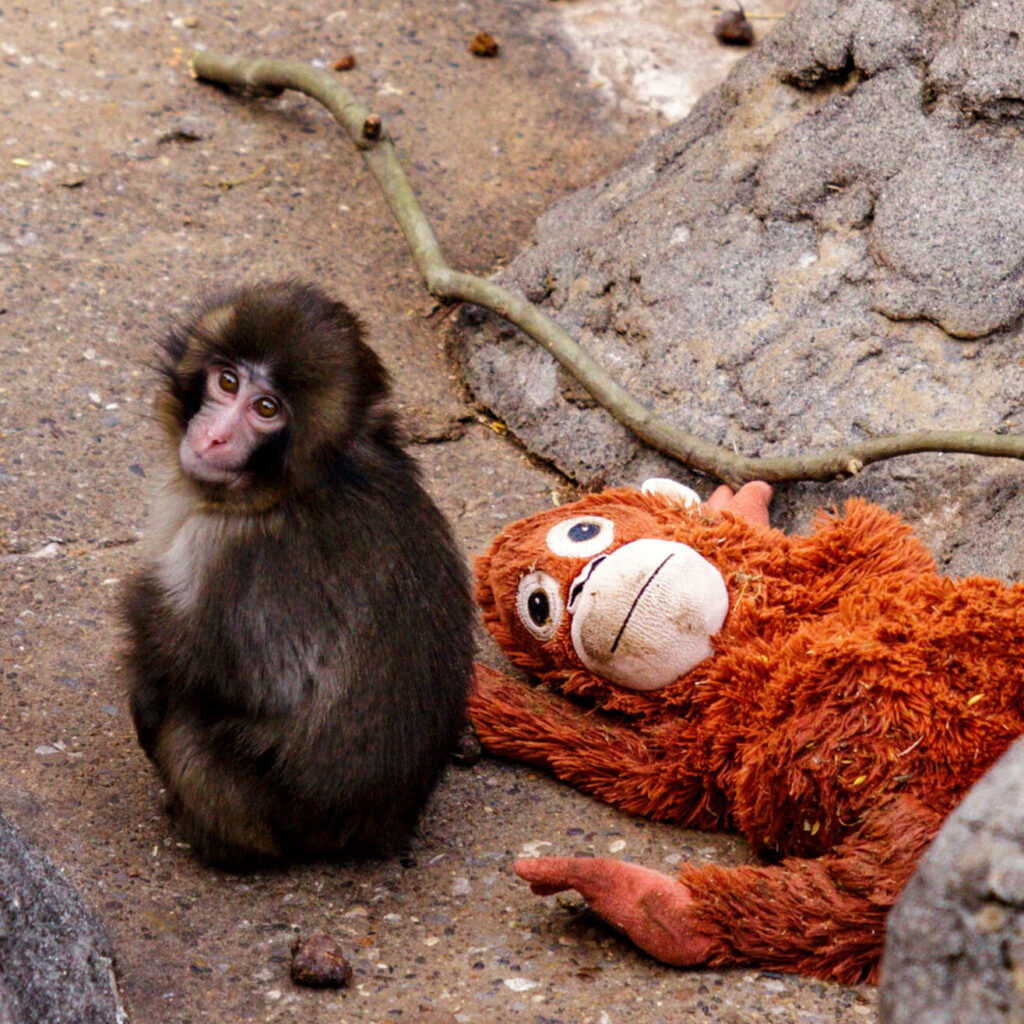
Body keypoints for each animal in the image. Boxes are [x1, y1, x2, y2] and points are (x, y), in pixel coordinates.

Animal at [123, 281, 476, 869]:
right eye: (227, 381)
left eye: (266, 408)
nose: (214, 438)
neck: (301, 486)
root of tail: (377, 828)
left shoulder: (225, 551)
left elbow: (236, 680)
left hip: (257, 814)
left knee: (184, 722)